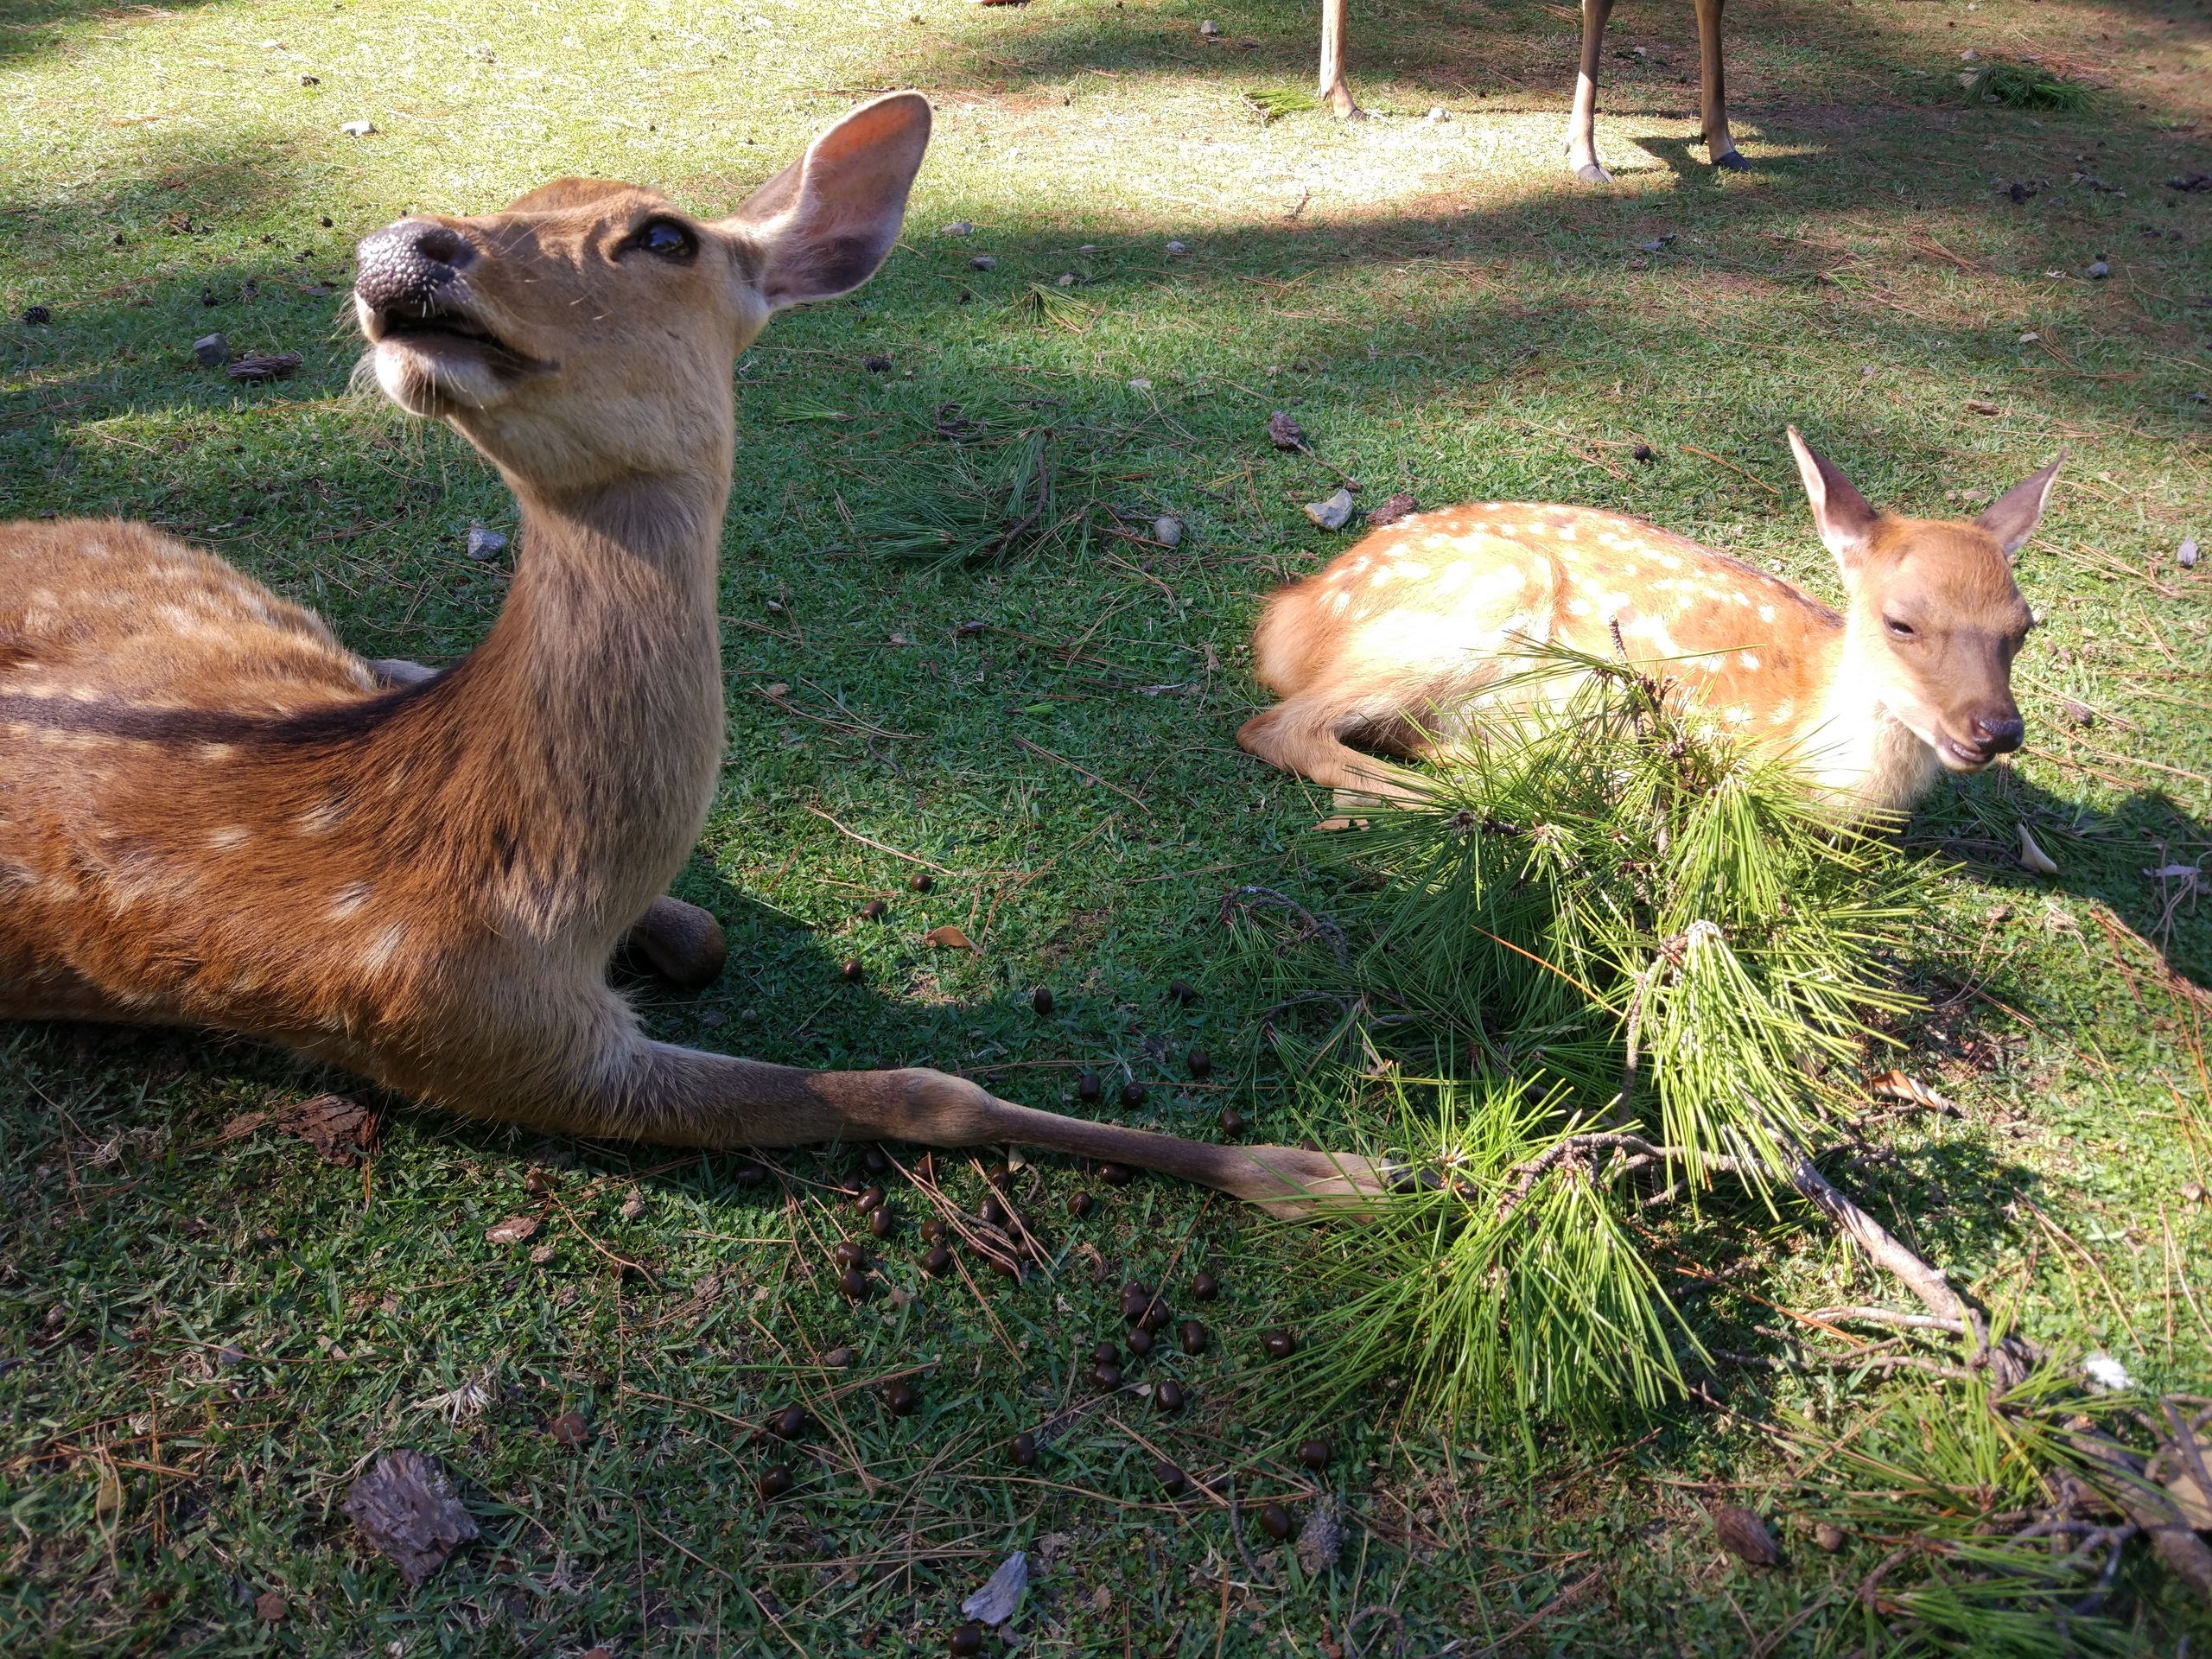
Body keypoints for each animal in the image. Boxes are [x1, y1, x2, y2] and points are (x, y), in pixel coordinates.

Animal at [0, 97, 1371, 1230]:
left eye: (663, 234)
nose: (401, 249)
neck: (527, 883)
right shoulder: (482, 1041)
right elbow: (917, 1089)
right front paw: (1327, 1174)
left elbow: (717, 936)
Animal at [1238, 429, 2061, 818]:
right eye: (1901, 622)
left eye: (2023, 627)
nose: (1996, 729)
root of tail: (1290, 613)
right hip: (1485, 594)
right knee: (1280, 728)